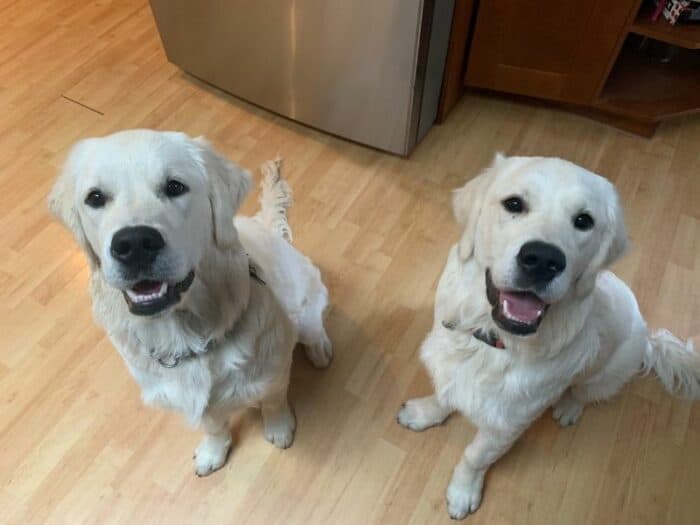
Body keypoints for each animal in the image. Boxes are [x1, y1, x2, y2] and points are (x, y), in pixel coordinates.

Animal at [49, 130, 334, 474]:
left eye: (175, 186)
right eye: (95, 197)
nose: (134, 244)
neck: (184, 335)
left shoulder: (273, 368)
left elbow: (274, 401)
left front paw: (279, 429)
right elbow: (214, 425)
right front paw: (213, 452)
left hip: (306, 306)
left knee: (314, 328)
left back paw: (320, 350)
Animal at [400, 154, 700, 516]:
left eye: (584, 221)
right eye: (514, 204)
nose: (543, 259)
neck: (492, 341)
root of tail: (648, 339)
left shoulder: (508, 423)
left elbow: (475, 457)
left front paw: (463, 492)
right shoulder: (451, 369)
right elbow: (443, 397)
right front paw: (423, 414)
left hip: (606, 374)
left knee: (584, 393)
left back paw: (568, 408)